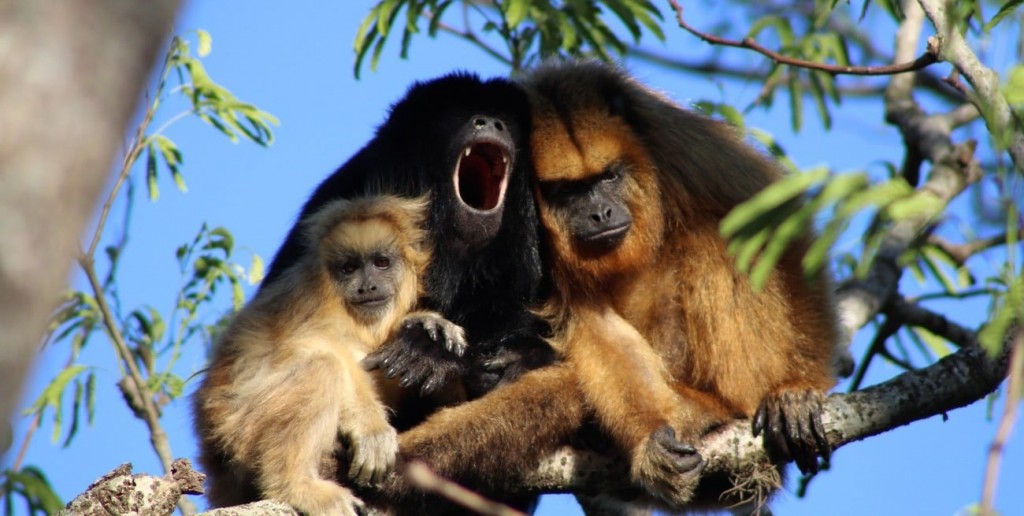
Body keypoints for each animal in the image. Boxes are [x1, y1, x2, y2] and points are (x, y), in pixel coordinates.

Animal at [192, 195, 468, 513]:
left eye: (381, 262)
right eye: (349, 268)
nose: (367, 287)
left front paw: (424, 328)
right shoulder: (308, 298)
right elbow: (315, 345)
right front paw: (370, 428)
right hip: (238, 429)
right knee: (323, 367)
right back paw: (297, 486)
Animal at [385, 61, 839, 511]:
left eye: (609, 177)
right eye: (566, 191)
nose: (600, 213)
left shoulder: (678, 142)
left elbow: (778, 222)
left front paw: (796, 390)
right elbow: (590, 323)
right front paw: (651, 439)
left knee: (709, 236)